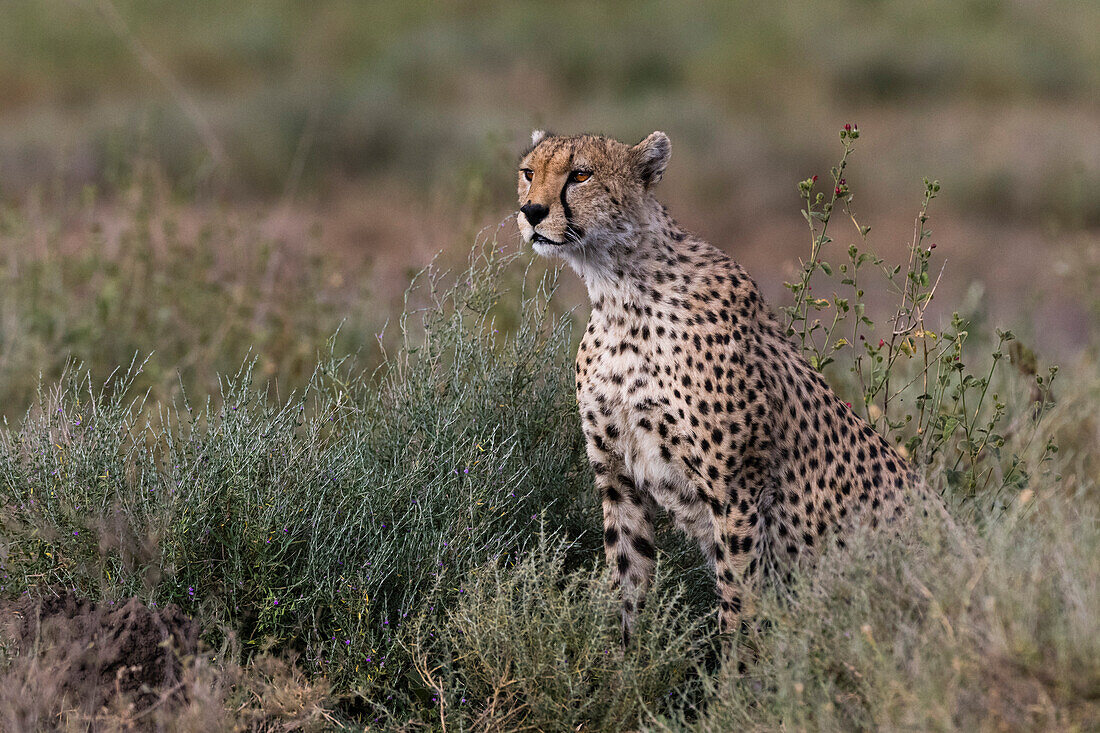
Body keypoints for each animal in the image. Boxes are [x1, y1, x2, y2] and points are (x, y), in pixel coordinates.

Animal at [517, 128, 928, 638]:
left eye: (580, 174)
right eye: (528, 172)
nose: (531, 211)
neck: (619, 291)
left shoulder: (737, 490)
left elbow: (737, 600)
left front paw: (734, 661)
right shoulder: (617, 476)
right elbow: (627, 584)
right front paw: (624, 654)